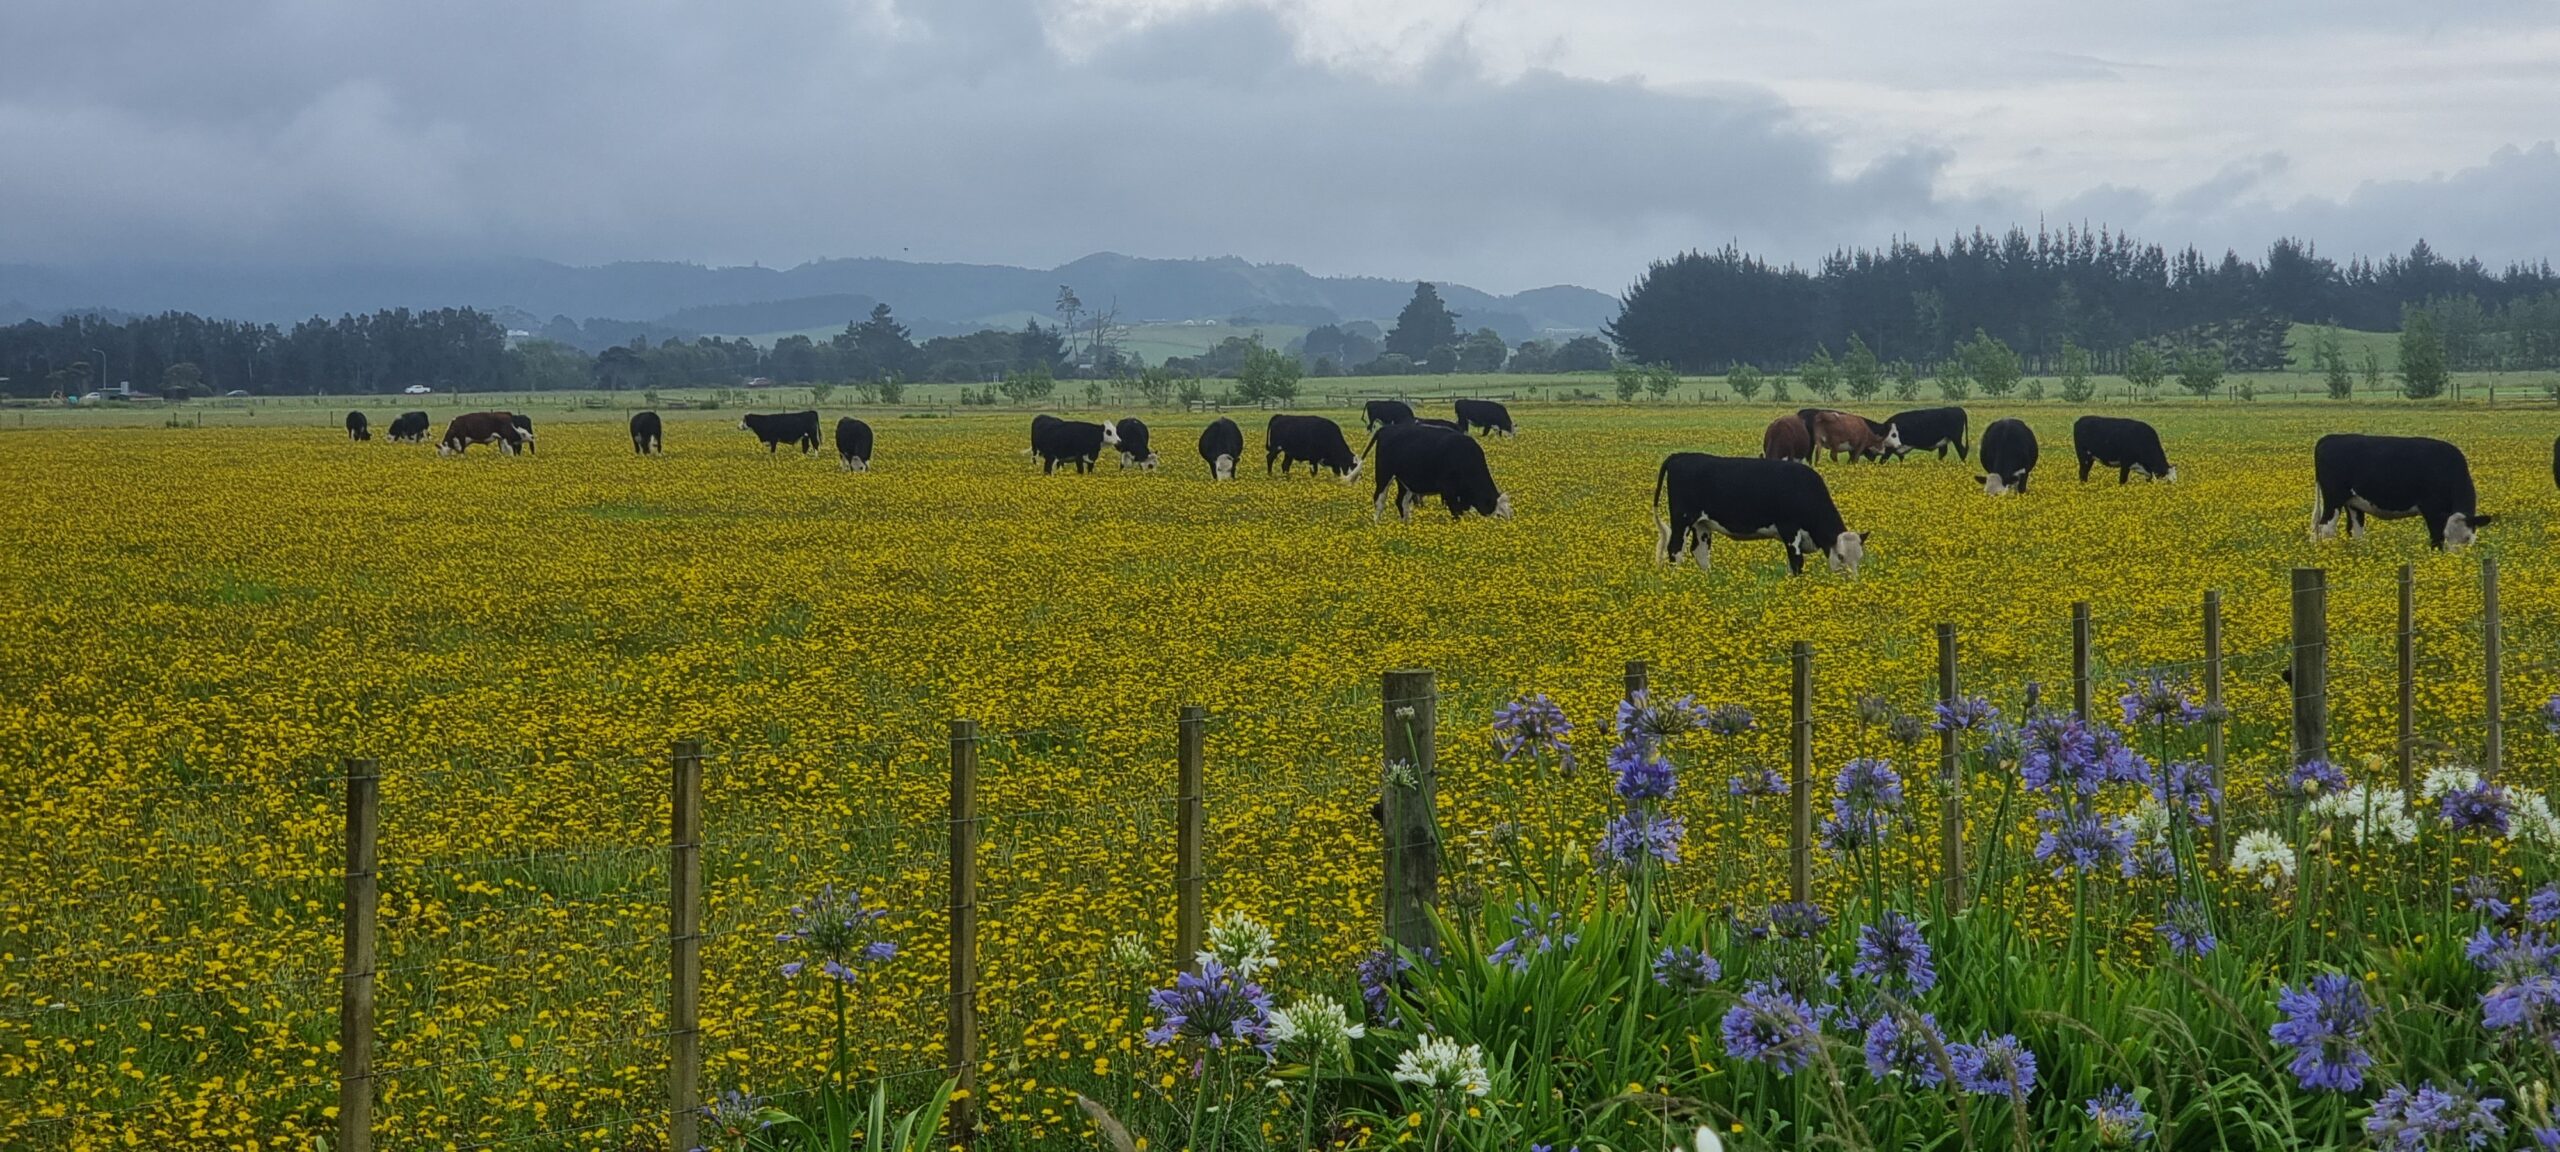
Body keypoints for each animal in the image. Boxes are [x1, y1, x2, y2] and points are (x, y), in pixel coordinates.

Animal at [1372, 422, 1505, 522]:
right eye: (1499, 515)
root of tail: (1386, 428)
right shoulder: (1449, 491)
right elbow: (1456, 511)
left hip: (1404, 481)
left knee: (1401, 502)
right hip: (1384, 476)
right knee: (1379, 500)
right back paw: (1377, 524)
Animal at [2314, 437, 2488, 552]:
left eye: (2468, 538)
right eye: (2447, 535)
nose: (2455, 560)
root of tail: (2330, 438)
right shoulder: (2432, 510)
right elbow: (2435, 538)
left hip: (2353, 502)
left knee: (2355, 530)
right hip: (2333, 499)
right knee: (2325, 527)